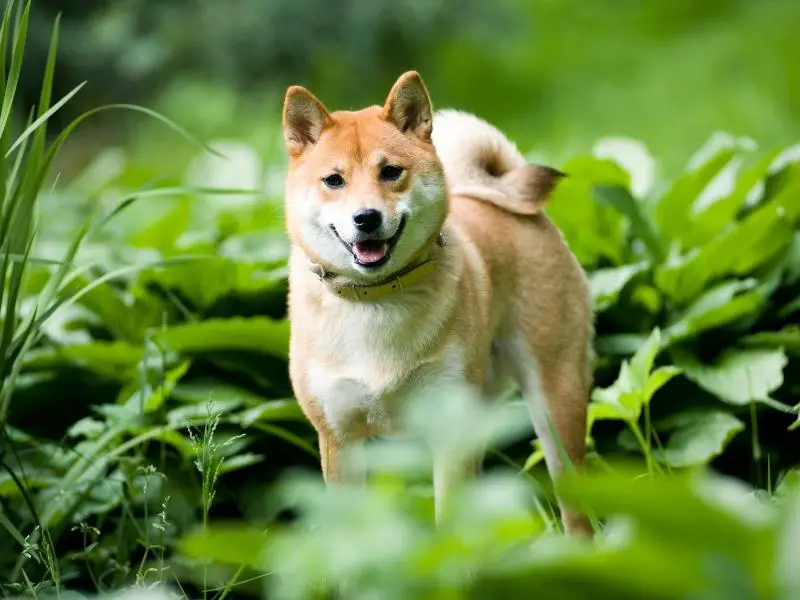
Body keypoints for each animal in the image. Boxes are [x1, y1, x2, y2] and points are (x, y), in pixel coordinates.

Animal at [282, 71, 592, 540]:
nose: (366, 218)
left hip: (556, 407)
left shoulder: (448, 431)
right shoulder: (339, 439)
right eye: (334, 180)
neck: (376, 301)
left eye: (390, 172)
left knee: (576, 512)